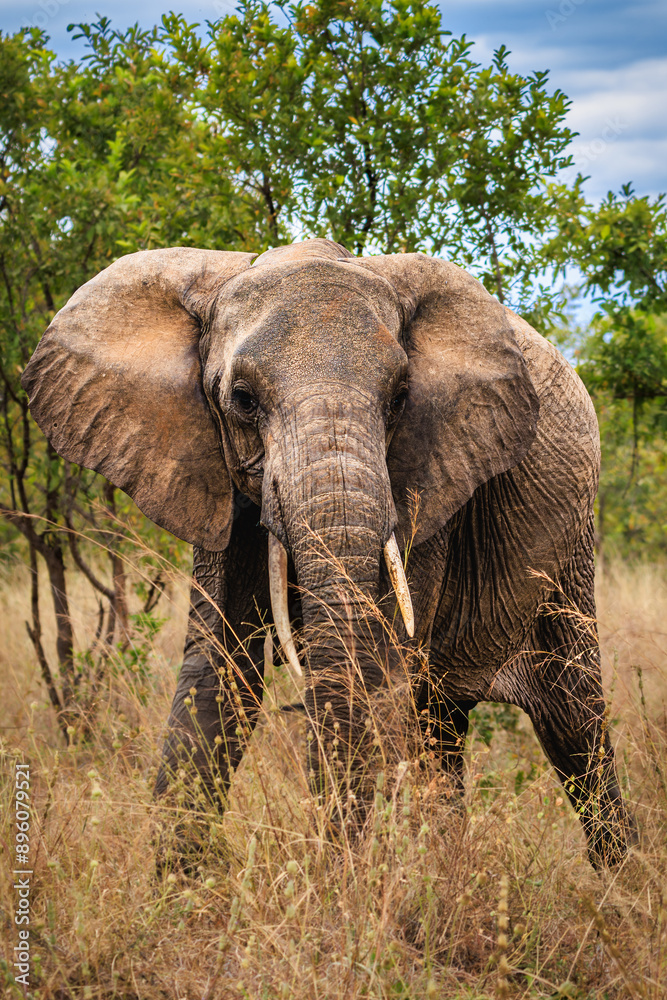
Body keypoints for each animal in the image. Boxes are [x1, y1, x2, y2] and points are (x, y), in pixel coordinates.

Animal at [22, 237, 634, 867]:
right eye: (242, 399)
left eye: (401, 398)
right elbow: (219, 667)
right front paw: (177, 885)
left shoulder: (428, 479)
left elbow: (376, 670)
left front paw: (351, 885)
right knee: (442, 726)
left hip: (570, 554)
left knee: (573, 721)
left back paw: (615, 882)